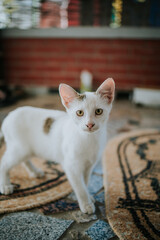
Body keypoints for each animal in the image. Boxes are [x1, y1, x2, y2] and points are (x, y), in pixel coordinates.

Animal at [0, 78, 115, 214]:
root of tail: (9, 116)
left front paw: (89, 197)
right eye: (79, 113)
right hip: (19, 148)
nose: (90, 124)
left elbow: (85, 182)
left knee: (25, 160)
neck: (88, 139)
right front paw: (86, 204)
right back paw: (5, 185)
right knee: (4, 163)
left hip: (26, 149)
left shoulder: (89, 166)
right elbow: (80, 187)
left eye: (98, 111)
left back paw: (35, 171)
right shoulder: (71, 166)